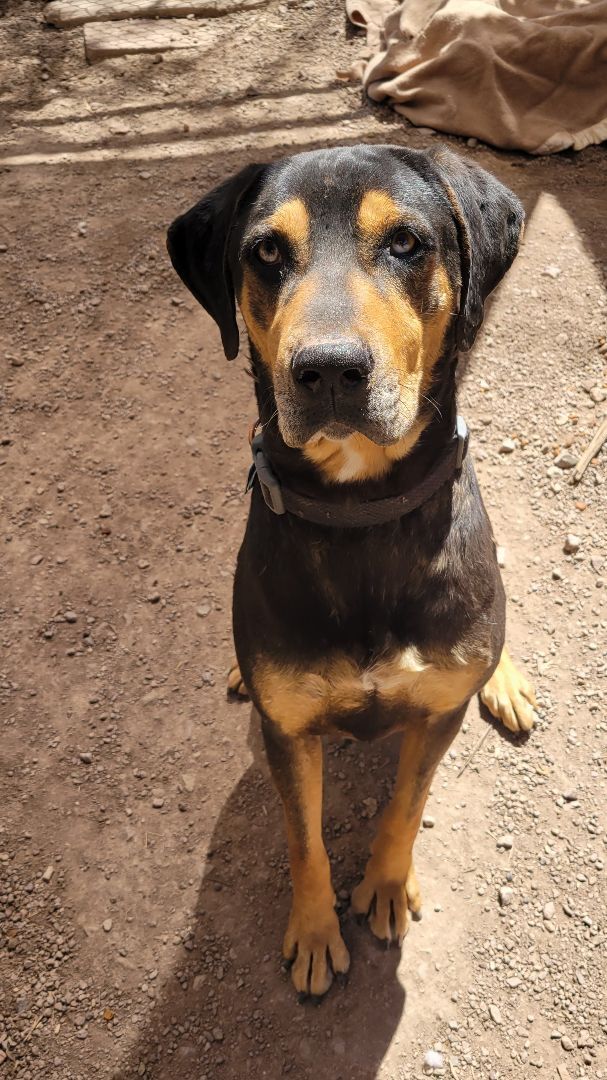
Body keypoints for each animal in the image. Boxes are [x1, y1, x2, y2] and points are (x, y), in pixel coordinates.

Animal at [165, 145, 533, 1002]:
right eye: (266, 251)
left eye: (405, 242)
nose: (327, 370)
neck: (362, 512)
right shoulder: (289, 732)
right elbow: (303, 838)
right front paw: (312, 931)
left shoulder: (436, 713)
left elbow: (405, 802)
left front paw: (388, 888)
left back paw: (504, 677)